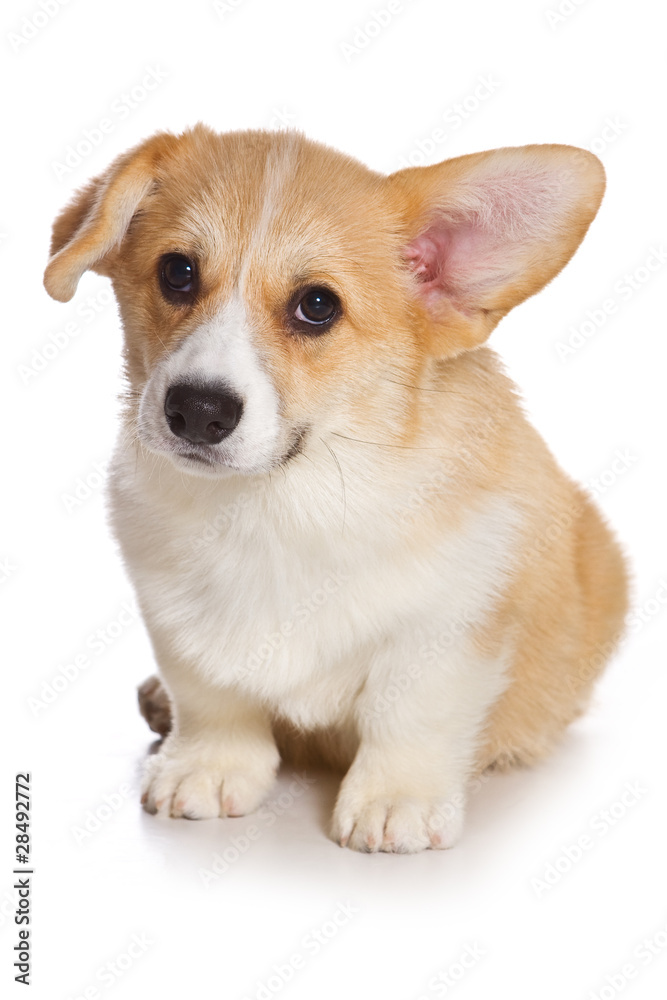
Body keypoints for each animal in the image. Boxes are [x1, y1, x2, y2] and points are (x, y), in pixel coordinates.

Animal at [44, 125, 628, 852]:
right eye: (176, 272)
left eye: (317, 306)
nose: (198, 411)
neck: (280, 500)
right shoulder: (173, 608)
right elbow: (210, 693)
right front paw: (205, 766)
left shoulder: (450, 622)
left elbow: (408, 711)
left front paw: (395, 800)